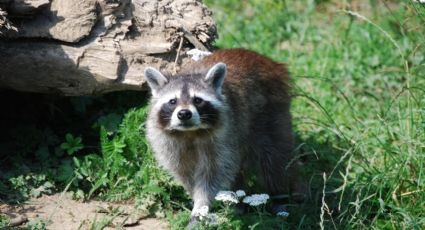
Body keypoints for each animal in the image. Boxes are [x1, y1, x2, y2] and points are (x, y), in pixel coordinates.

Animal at [144, 49, 296, 219]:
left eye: (197, 100)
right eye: (172, 101)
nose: (184, 114)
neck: (190, 133)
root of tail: (265, 59)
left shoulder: (223, 134)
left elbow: (214, 172)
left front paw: (202, 203)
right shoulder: (168, 142)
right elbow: (184, 171)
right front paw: (194, 195)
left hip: (271, 113)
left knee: (274, 159)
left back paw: (279, 197)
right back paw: (238, 200)